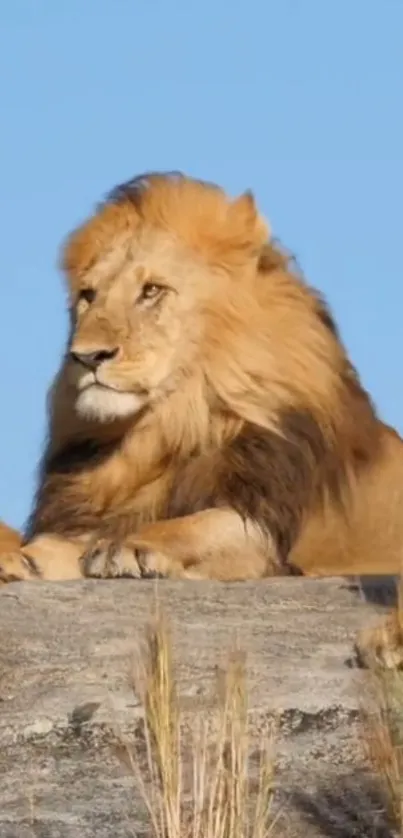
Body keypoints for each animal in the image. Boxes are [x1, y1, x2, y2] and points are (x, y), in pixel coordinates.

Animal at [0, 171, 403, 588]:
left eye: (152, 290)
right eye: (88, 295)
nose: (85, 356)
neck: (172, 425)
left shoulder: (265, 528)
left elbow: (198, 525)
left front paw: (130, 544)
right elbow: (54, 546)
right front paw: (18, 558)